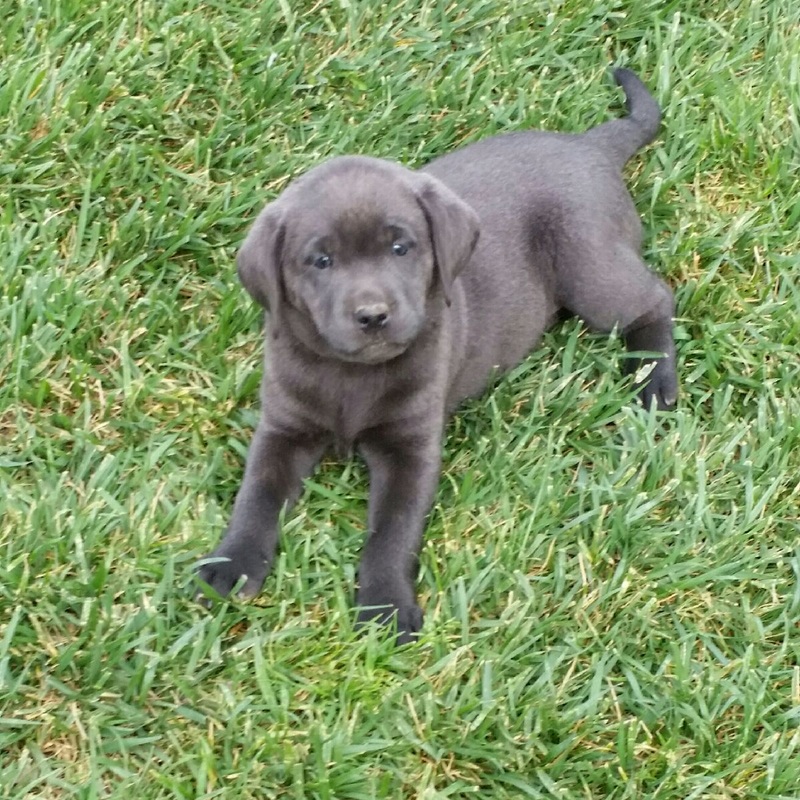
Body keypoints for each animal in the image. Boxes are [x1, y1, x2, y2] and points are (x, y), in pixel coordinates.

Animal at [198, 69, 676, 644]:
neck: (352, 375)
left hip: (588, 265)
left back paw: (655, 382)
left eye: (400, 247)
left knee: (655, 298)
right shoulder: (283, 428)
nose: (373, 315)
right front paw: (232, 564)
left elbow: (392, 532)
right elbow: (256, 496)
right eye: (321, 260)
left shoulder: (412, 448)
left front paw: (384, 604)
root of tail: (588, 146)